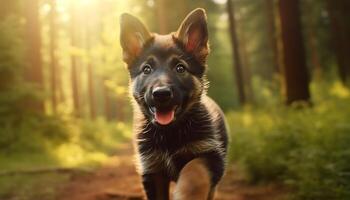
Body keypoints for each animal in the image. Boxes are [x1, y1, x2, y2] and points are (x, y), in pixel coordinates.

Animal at [120, 8, 228, 200]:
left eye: (180, 68)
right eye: (147, 69)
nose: (161, 94)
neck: (169, 134)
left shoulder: (210, 155)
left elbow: (194, 173)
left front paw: (186, 194)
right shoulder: (152, 170)